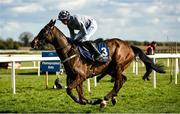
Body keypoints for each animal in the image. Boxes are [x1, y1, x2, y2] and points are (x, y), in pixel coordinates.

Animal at [31, 19, 166, 107]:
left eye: (44, 31)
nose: (33, 43)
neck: (69, 52)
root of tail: (129, 46)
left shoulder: (81, 76)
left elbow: (69, 90)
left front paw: (94, 101)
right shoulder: (74, 77)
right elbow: (79, 96)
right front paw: (89, 101)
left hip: (118, 65)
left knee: (118, 82)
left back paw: (105, 99)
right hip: (111, 69)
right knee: (122, 80)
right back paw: (111, 98)